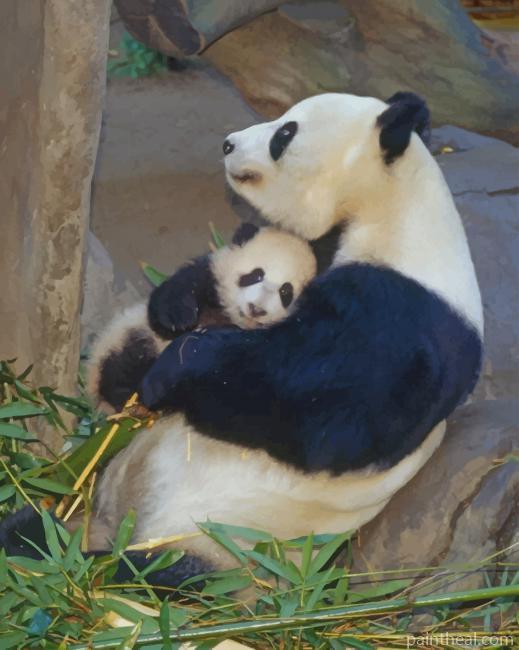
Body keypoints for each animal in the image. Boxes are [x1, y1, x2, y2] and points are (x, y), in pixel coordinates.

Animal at [87, 224, 317, 412]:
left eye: (286, 292)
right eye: (256, 275)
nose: (256, 308)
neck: (232, 318)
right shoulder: (210, 276)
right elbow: (174, 294)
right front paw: (179, 319)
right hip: (127, 340)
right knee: (122, 365)